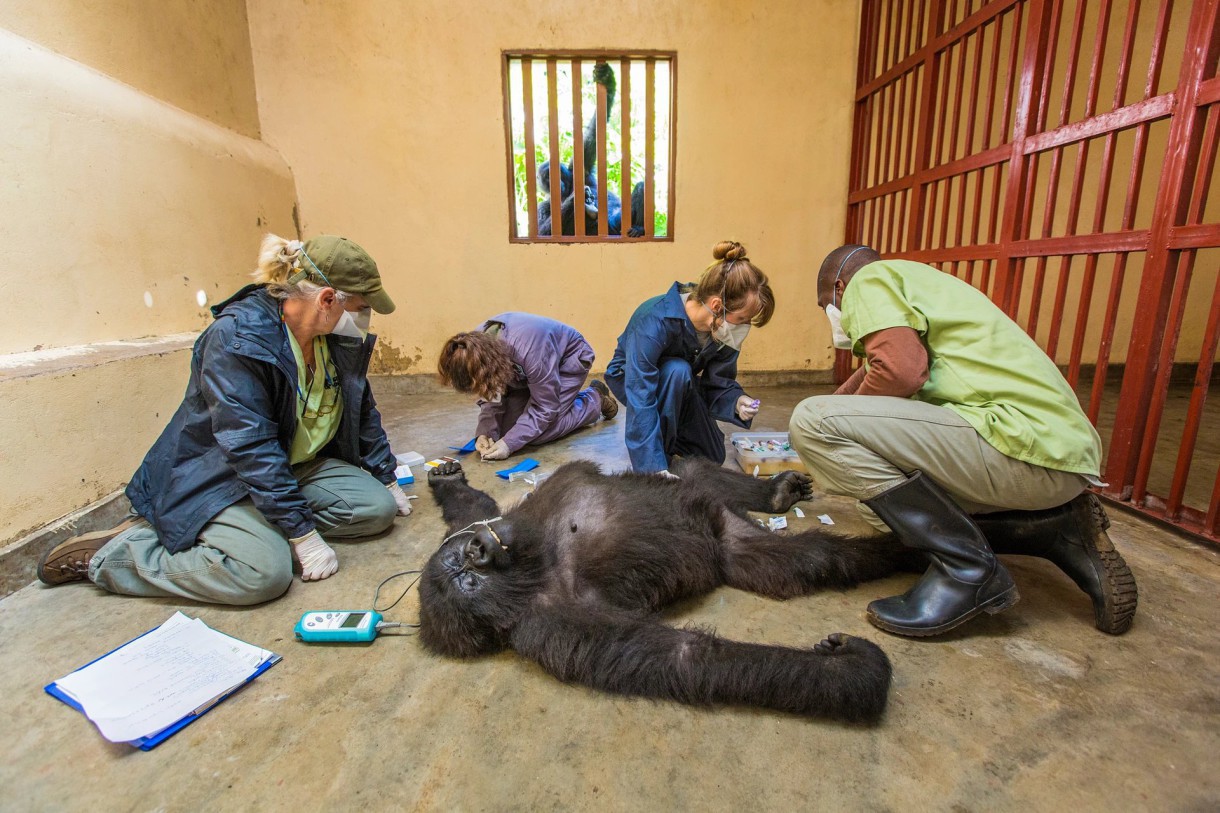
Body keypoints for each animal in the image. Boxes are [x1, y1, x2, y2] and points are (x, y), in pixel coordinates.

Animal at [419, 456, 922, 722]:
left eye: (465, 560)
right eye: (469, 583)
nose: (481, 549)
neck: (538, 556)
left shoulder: (496, 519)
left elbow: (473, 507)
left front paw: (449, 481)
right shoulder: (557, 627)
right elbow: (688, 658)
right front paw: (851, 672)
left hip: (709, 505)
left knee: (692, 467)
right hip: (737, 544)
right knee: (806, 558)